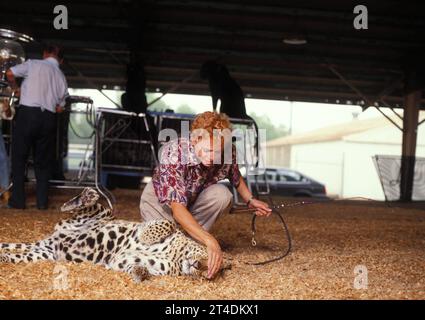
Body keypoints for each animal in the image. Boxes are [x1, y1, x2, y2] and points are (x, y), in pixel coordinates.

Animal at [0, 189, 229, 282]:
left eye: (208, 274)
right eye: (207, 261)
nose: (198, 266)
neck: (178, 256)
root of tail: (52, 240)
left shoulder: (122, 260)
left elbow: (136, 265)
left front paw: (139, 273)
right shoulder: (165, 225)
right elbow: (167, 223)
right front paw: (145, 237)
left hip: (42, 254)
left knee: (17, 254)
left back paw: (4, 257)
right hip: (101, 215)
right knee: (82, 205)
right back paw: (83, 197)